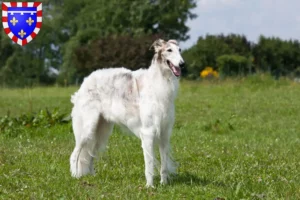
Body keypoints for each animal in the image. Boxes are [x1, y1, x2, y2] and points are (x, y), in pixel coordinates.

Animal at [69, 39, 184, 188]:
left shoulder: (165, 133)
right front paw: (150, 186)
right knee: (75, 154)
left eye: (180, 50)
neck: (160, 82)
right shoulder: (148, 133)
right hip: (87, 129)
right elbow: (149, 164)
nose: (182, 64)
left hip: (101, 131)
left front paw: (164, 184)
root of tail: (85, 82)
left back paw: (92, 176)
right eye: (169, 50)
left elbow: (163, 165)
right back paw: (76, 176)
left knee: (90, 155)